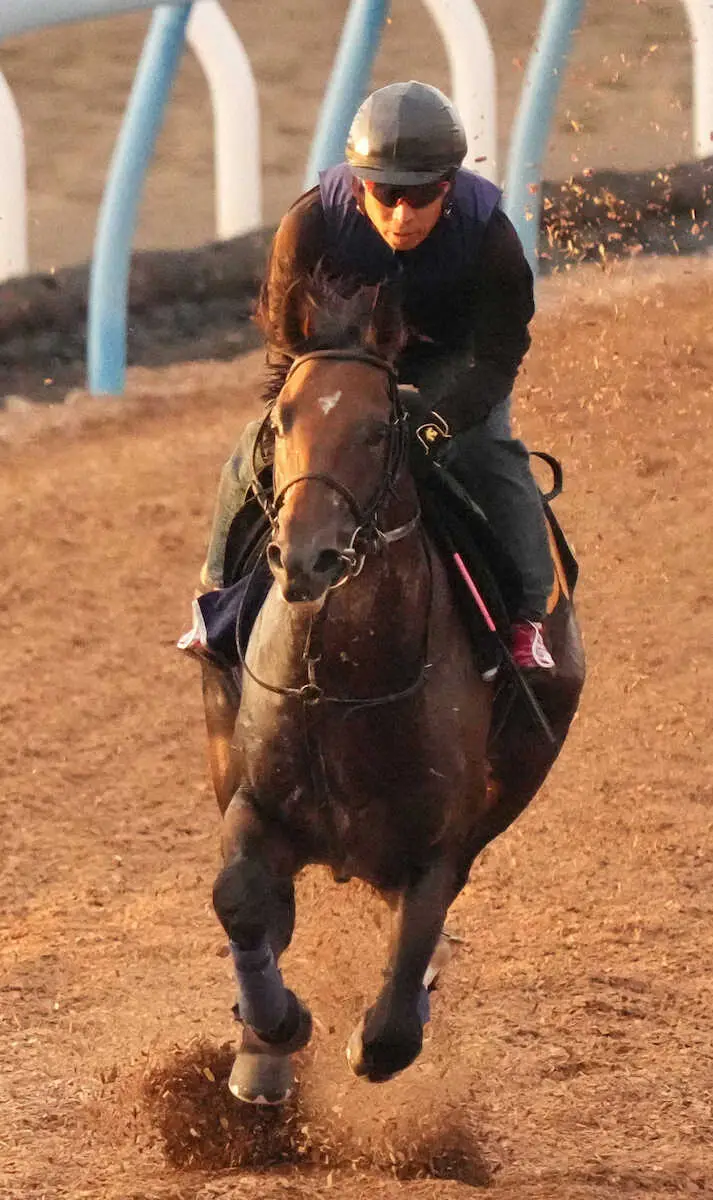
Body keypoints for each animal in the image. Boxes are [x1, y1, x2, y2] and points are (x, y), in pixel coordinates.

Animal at [199, 276, 583, 1099]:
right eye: (283, 420)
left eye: (380, 430)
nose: (306, 556)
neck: (337, 682)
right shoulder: (251, 800)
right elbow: (241, 900)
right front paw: (272, 1034)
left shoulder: (439, 843)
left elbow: (396, 1009)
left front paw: (385, 1022)